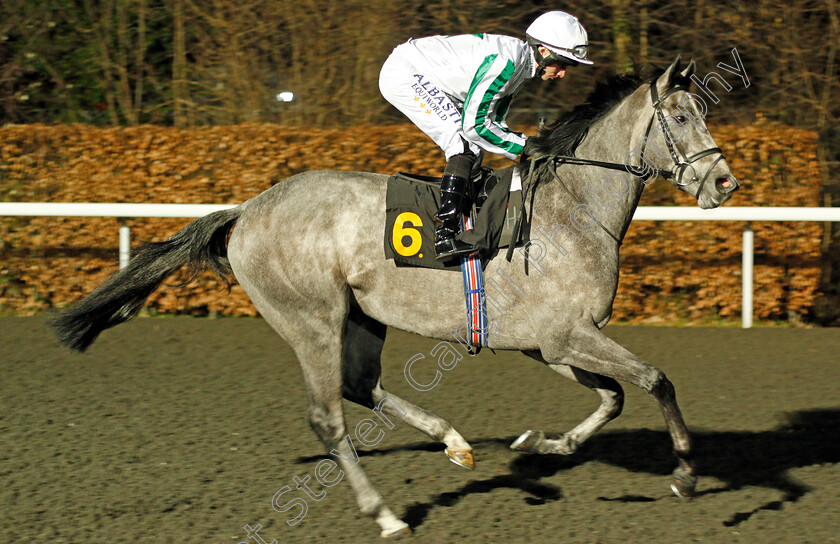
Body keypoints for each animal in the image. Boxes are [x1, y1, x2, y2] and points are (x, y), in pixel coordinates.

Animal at [50, 58, 736, 536]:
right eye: (681, 118)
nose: (726, 183)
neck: (573, 210)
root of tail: (246, 210)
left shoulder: (550, 343)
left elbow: (614, 397)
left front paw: (543, 444)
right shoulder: (567, 336)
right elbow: (654, 380)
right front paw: (685, 475)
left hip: (361, 317)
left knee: (359, 386)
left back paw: (453, 441)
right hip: (312, 319)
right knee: (328, 416)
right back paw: (385, 514)